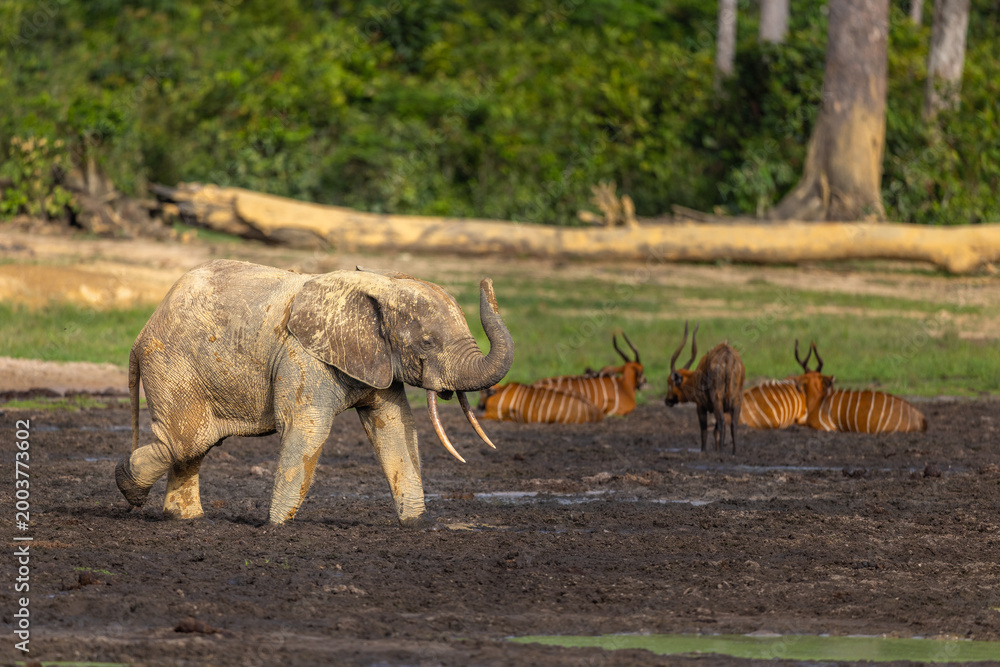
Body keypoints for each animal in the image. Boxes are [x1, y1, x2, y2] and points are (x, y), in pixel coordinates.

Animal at [114, 259, 514, 526]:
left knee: (195, 446)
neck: (381, 283)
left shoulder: (378, 361)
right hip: (173, 365)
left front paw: (415, 524)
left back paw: (184, 519)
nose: (486, 280)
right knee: (187, 442)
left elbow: (394, 426)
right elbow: (307, 427)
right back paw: (128, 486)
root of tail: (141, 333)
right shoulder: (303, 355)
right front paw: (275, 528)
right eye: (427, 343)